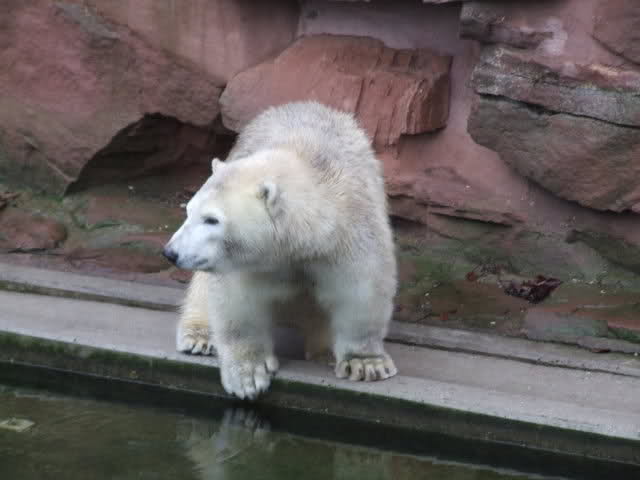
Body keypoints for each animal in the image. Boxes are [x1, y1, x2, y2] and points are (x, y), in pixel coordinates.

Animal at [163, 101, 398, 400]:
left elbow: (361, 291)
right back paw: (199, 337)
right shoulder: (246, 262)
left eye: (212, 219)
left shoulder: (349, 236)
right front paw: (248, 374)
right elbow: (238, 302)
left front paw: (365, 364)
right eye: (189, 211)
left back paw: (323, 352)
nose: (171, 252)